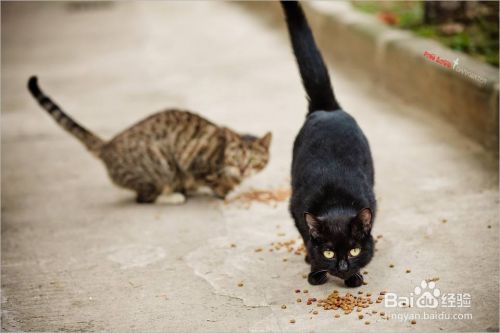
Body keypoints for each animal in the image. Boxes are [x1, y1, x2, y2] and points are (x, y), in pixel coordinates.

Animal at [26, 76, 272, 204]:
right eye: (235, 158)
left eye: (252, 160)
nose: (242, 170)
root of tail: (108, 145)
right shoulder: (194, 162)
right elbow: (214, 182)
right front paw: (226, 190)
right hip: (160, 164)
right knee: (145, 197)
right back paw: (174, 196)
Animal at [282, 1, 376, 286]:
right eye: (329, 252)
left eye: (354, 250)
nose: (342, 267)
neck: (336, 201)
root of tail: (328, 109)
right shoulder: (296, 210)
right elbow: (307, 238)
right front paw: (315, 271)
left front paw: (354, 277)